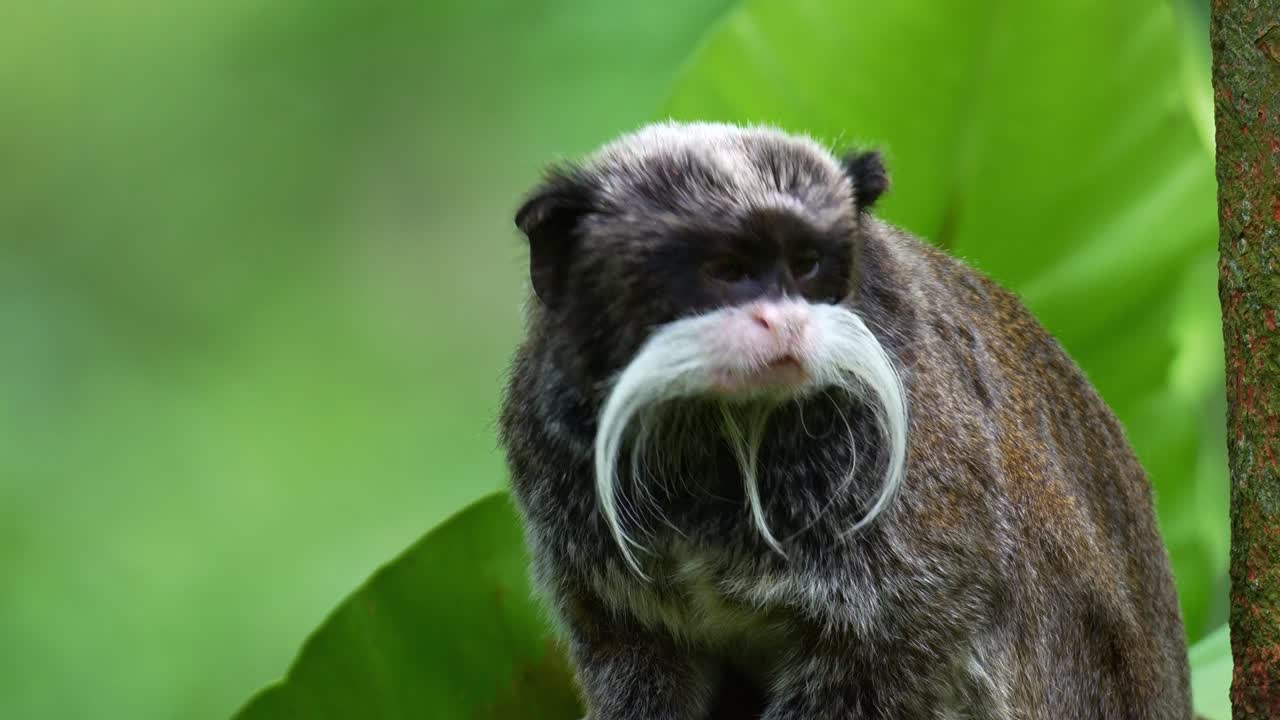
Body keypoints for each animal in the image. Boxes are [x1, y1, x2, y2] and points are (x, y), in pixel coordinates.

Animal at [498, 122, 1192, 719]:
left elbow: (906, 634)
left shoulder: (910, 482)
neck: (714, 442)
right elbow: (632, 656)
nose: (784, 321)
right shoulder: (554, 463)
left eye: (804, 264)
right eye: (729, 271)